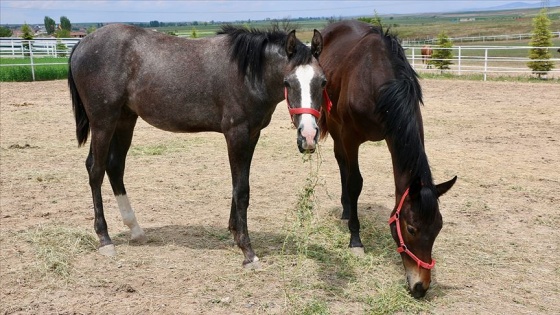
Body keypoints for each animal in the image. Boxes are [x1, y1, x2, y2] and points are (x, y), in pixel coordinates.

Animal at [68, 24, 326, 270]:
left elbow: (239, 185)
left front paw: (235, 233)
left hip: (124, 119)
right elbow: (242, 191)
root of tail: (82, 44)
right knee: (96, 170)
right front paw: (248, 252)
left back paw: (135, 229)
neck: (248, 74)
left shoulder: (252, 135)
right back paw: (105, 239)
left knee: (114, 166)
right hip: (103, 122)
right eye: (288, 82)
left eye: (322, 82)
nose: (309, 136)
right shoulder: (237, 134)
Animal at [318, 21, 458, 298]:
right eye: (411, 228)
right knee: (342, 163)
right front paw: (355, 240)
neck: (377, 82)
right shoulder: (350, 136)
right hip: (336, 126)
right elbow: (355, 182)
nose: (421, 287)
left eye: (439, 227)